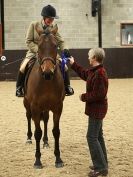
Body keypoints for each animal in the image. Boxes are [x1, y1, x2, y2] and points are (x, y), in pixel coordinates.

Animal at [23, 23, 65, 169]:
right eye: (39, 46)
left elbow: (56, 131)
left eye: (55, 45)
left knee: (46, 119)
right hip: (27, 104)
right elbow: (37, 132)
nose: (47, 73)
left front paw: (58, 159)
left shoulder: (58, 107)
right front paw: (37, 161)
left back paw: (46, 142)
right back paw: (28, 138)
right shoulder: (35, 107)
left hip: (46, 107)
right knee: (28, 117)